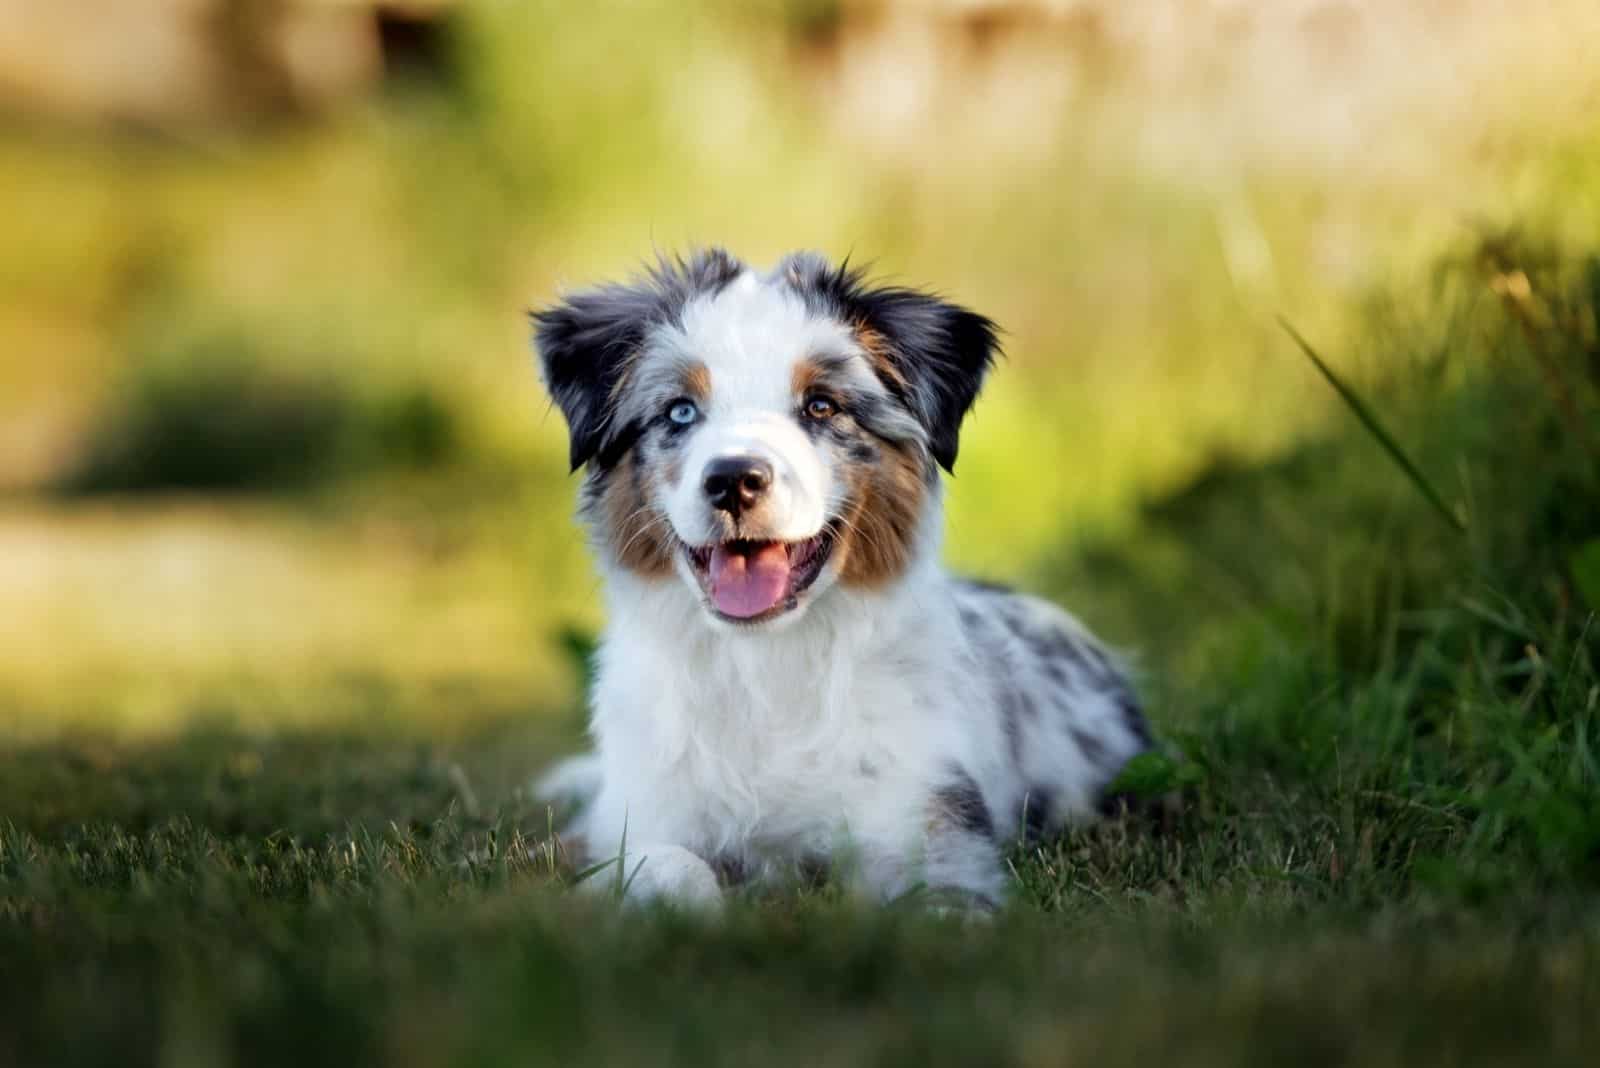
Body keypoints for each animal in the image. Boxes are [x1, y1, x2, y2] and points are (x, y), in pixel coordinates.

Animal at [534, 247, 1152, 908]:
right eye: (680, 411)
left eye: (821, 406)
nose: (733, 480)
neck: (765, 666)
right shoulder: (633, 819)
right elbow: (669, 867)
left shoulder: (933, 825)